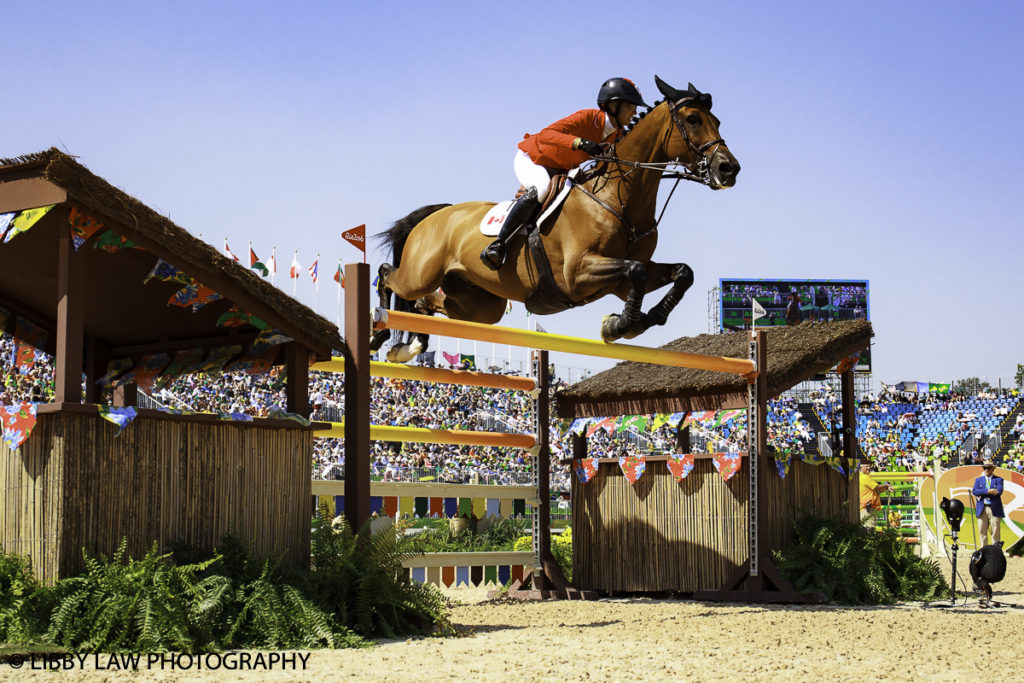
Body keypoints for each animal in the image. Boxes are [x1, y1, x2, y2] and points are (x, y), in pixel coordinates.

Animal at [372, 76, 741, 362]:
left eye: (718, 121)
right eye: (692, 119)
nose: (729, 169)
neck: (618, 197)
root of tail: (437, 214)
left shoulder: (620, 284)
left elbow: (681, 273)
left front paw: (637, 320)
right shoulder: (577, 273)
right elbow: (635, 269)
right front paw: (622, 325)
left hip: (479, 304)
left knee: (426, 302)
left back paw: (408, 347)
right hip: (421, 272)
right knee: (389, 275)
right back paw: (380, 334)